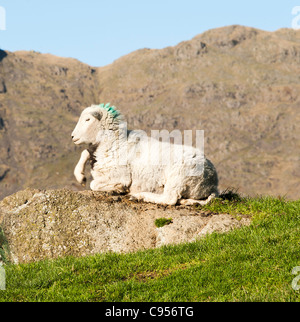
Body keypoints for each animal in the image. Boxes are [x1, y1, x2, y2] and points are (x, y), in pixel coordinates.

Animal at [71, 102, 219, 206]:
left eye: (88, 120)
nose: (72, 136)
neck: (115, 143)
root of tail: (213, 181)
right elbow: (85, 152)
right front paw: (80, 176)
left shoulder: (120, 176)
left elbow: (94, 184)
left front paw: (118, 189)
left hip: (179, 176)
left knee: (169, 199)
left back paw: (140, 196)